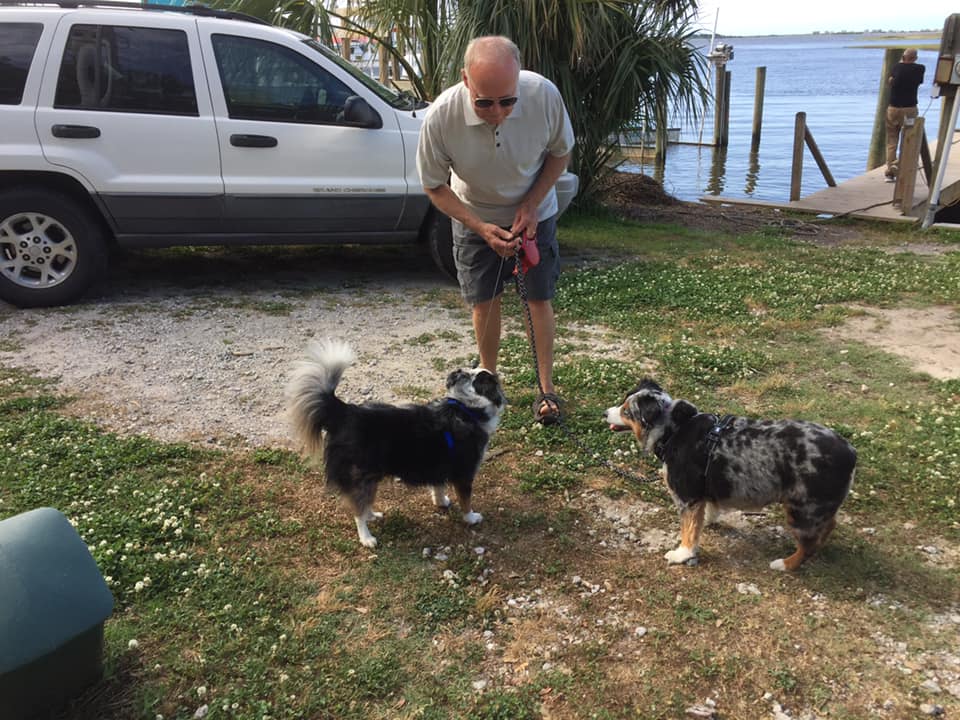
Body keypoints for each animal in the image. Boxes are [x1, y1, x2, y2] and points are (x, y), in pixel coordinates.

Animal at [286, 340, 506, 548]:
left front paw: (441, 502)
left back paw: (372, 515)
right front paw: (471, 518)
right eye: (480, 378)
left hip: (370, 476)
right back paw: (366, 538)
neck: (465, 408)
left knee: (363, 503)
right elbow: (466, 500)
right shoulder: (464, 472)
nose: (458, 371)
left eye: (475, 374)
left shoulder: (439, 465)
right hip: (361, 475)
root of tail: (345, 412)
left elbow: (438, 487)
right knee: (358, 509)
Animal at [604, 380, 860, 572]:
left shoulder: (687, 498)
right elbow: (704, 514)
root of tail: (850, 452)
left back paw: (784, 564)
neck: (674, 430)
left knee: (807, 546)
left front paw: (682, 554)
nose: (604, 413)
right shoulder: (703, 493)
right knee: (827, 527)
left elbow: (688, 530)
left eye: (626, 411)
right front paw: (708, 521)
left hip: (802, 510)